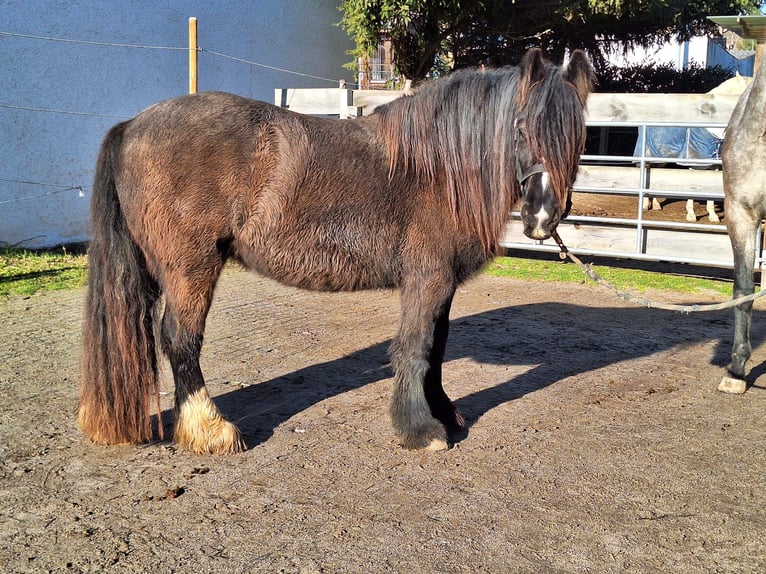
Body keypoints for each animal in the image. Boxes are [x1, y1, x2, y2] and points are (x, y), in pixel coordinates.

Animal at [79, 49, 592, 454]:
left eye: (579, 133)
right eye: (522, 128)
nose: (544, 217)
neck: (438, 168)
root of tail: (132, 126)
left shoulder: (442, 285)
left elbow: (438, 348)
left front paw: (444, 415)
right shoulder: (426, 280)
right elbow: (416, 348)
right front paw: (420, 430)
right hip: (191, 266)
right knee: (180, 337)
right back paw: (210, 430)